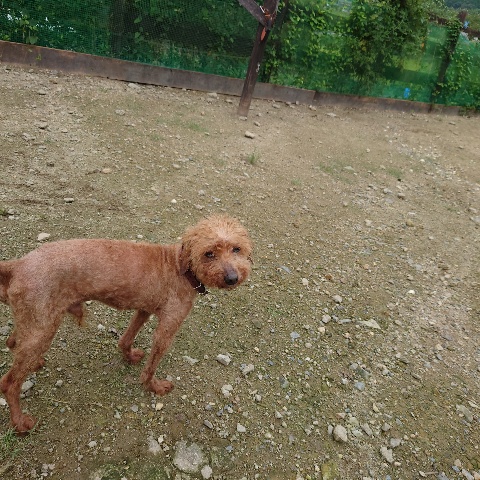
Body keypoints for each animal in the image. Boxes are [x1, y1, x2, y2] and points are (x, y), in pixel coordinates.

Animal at [0, 215, 252, 433]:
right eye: (209, 253)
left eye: (236, 249)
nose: (232, 278)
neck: (180, 268)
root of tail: (17, 264)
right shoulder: (168, 326)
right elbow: (151, 365)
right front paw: (154, 387)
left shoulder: (144, 309)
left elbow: (126, 338)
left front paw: (129, 357)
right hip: (43, 328)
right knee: (9, 382)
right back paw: (20, 423)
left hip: (35, 322)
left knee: (12, 342)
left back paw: (35, 363)